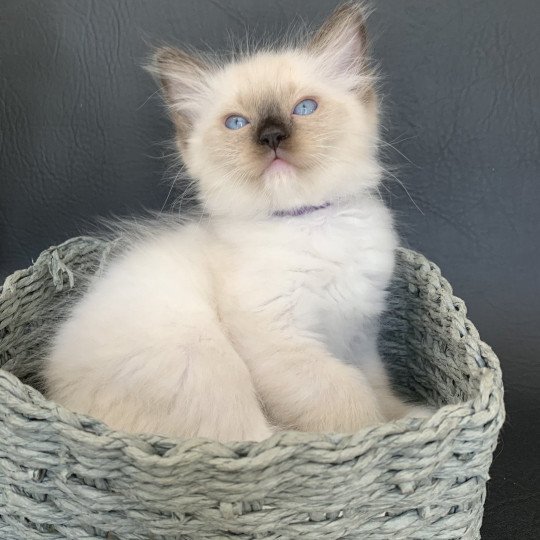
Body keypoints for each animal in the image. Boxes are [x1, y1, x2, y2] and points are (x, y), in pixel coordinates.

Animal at [43, 4, 430, 440]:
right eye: (237, 123)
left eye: (304, 108)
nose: (272, 136)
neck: (306, 224)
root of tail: (61, 399)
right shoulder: (284, 343)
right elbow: (351, 402)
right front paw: (378, 433)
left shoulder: (359, 337)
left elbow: (378, 389)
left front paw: (409, 416)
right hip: (205, 358)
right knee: (252, 434)